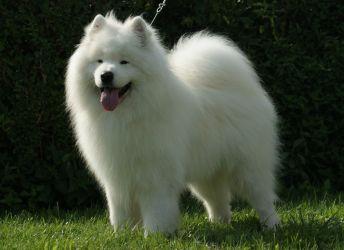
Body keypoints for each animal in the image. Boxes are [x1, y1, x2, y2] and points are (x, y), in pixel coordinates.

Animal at [66, 13, 280, 236]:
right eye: (99, 61)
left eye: (124, 62)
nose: (106, 75)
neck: (126, 115)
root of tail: (246, 89)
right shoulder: (118, 177)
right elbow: (120, 210)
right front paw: (123, 233)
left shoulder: (154, 176)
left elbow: (156, 209)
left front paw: (155, 235)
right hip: (208, 172)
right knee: (218, 200)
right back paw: (219, 224)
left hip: (247, 167)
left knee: (263, 198)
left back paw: (271, 226)